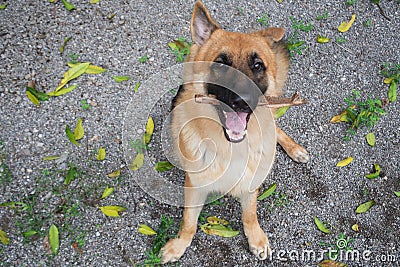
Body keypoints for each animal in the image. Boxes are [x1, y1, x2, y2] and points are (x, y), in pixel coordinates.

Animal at [160, 0, 310, 264]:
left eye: (257, 65)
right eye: (221, 63)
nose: (243, 100)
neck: (229, 146)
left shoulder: (251, 183)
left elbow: (249, 214)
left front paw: (256, 238)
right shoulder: (194, 186)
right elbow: (189, 222)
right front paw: (178, 245)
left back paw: (295, 149)